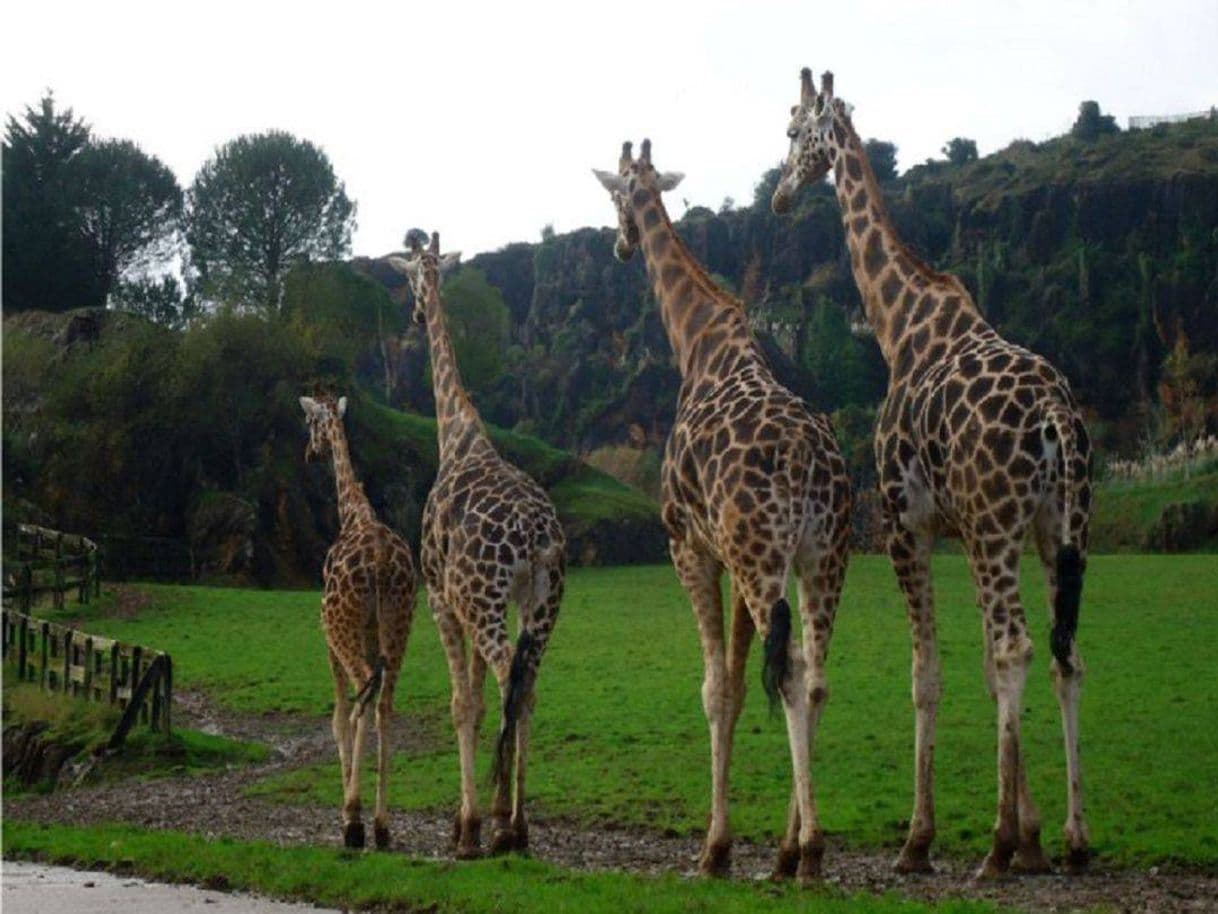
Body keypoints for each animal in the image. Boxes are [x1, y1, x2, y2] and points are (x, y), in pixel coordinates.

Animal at [299, 392, 418, 853]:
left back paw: (353, 820)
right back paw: (382, 826)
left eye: (309, 423)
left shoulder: (327, 636)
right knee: (384, 704)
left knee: (362, 697)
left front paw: (349, 813)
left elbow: (337, 715)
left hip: (344, 625)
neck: (353, 513)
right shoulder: (373, 633)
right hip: (400, 627)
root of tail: (382, 565)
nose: (309, 453)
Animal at [384, 229, 565, 857]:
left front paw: (465, 826)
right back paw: (518, 823)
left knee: (510, 674)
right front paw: (484, 814)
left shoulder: (442, 598)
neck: (456, 435)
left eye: (410, 276)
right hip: (540, 605)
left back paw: (505, 827)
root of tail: (535, 537)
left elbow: (463, 704)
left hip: (483, 601)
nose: (415, 312)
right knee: (527, 687)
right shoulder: (481, 604)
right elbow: (487, 703)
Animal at [594, 139, 852, 882]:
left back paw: (811, 850)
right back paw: (791, 851)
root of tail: (808, 464)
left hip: (768, 557)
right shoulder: (737, 561)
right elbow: (738, 685)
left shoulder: (692, 547)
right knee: (815, 676)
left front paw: (714, 849)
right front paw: (739, 844)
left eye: (618, 194)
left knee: (790, 672)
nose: (621, 243)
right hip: (825, 556)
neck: (697, 342)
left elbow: (714, 688)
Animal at [769, 66, 1096, 882]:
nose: (780, 194)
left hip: (1000, 525)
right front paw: (1034, 834)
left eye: (792, 130)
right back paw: (1073, 839)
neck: (899, 326)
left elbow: (929, 675)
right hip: (1058, 527)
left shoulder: (906, 523)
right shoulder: (961, 529)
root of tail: (1056, 417)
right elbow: (978, 667)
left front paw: (923, 841)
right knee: (1062, 652)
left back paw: (995, 848)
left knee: (1018, 647)